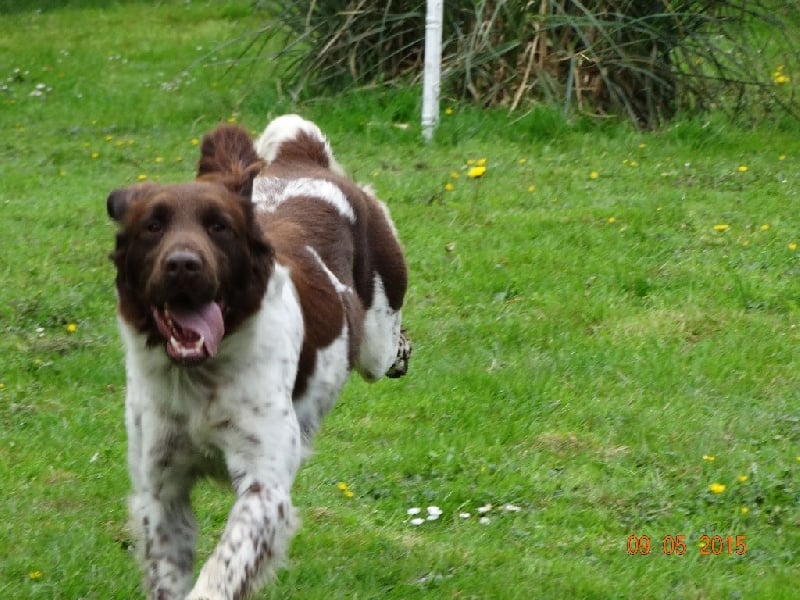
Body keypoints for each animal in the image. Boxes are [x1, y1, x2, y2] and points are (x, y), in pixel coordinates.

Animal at [107, 114, 411, 599]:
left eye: (220, 227)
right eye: (152, 227)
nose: (183, 264)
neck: (200, 377)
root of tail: (302, 158)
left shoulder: (263, 485)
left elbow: (223, 569)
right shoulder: (161, 489)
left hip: (375, 339)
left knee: (389, 347)